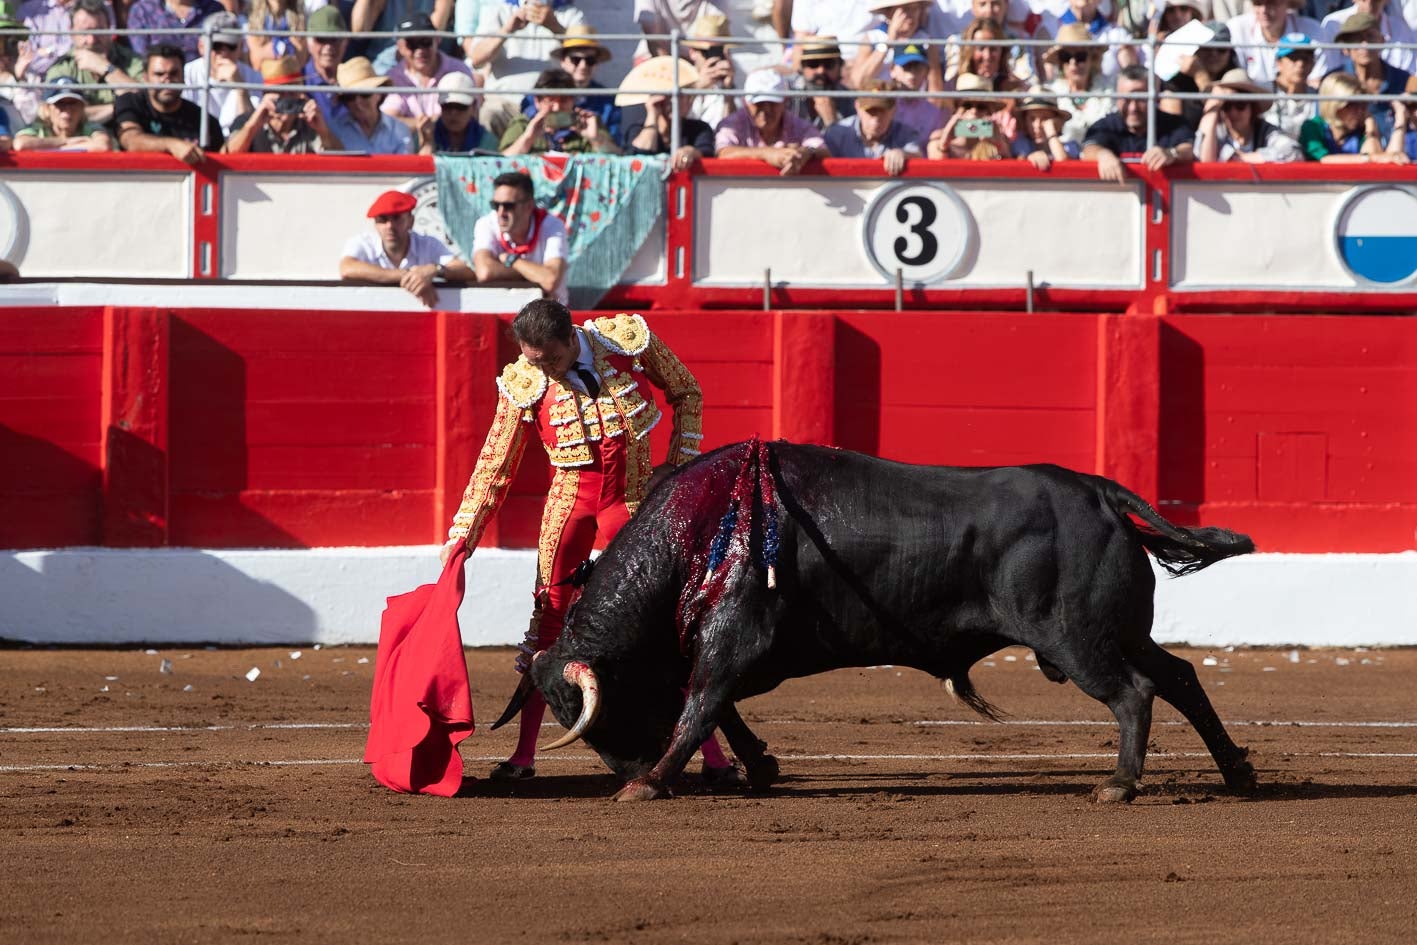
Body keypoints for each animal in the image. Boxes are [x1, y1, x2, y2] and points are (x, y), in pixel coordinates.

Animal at [515, 439, 1258, 804]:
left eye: (590, 714)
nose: (626, 766)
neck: (698, 531)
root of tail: (1098, 489)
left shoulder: (732, 638)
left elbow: (700, 707)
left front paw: (649, 784)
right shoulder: (728, 651)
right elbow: (722, 711)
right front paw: (760, 766)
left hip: (1076, 637)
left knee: (1134, 692)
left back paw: (1118, 785)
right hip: (1121, 629)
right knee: (1179, 676)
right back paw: (1238, 774)